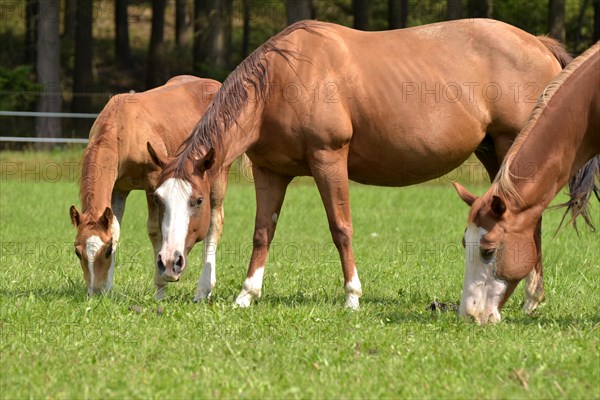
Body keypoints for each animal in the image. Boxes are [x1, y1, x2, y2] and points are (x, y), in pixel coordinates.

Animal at [68, 76, 223, 298]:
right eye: (77, 251)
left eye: (107, 251)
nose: (94, 292)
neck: (123, 127)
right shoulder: (118, 188)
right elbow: (115, 228)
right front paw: (108, 288)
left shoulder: (154, 180)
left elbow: (155, 230)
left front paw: (160, 290)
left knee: (214, 222)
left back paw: (204, 288)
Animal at [152, 19, 568, 310]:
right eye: (159, 200)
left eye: (198, 201)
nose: (169, 262)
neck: (283, 79)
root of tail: (538, 43)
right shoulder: (271, 172)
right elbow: (262, 233)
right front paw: (246, 294)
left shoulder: (329, 159)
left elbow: (341, 228)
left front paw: (352, 296)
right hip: (491, 151)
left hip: (513, 147)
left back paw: (531, 299)